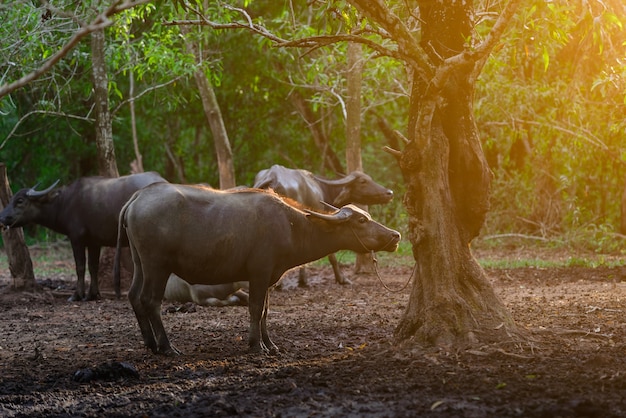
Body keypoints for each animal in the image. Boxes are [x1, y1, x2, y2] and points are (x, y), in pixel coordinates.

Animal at [116, 184, 400, 356]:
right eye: (361, 220)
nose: (395, 235)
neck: (291, 226)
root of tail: (137, 198)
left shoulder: (271, 277)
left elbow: (264, 310)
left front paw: (270, 344)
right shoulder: (259, 274)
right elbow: (254, 308)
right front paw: (256, 346)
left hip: (140, 262)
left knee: (134, 296)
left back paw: (150, 344)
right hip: (157, 265)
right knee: (150, 300)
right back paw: (166, 347)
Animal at [252, 165, 390, 286]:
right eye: (363, 181)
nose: (389, 192)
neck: (323, 189)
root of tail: (273, 176)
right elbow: (331, 255)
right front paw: (341, 279)